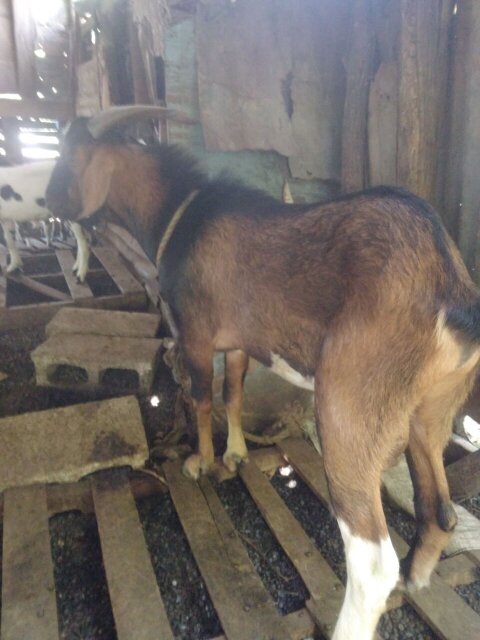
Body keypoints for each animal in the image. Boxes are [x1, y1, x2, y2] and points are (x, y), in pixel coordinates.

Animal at [46, 106, 480, 640]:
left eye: (68, 155)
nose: (47, 199)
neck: (181, 214)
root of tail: (448, 285)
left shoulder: (195, 334)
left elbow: (203, 396)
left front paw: (199, 463)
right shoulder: (237, 340)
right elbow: (233, 392)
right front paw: (235, 455)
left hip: (351, 410)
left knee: (372, 562)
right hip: (430, 412)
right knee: (438, 510)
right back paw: (416, 581)